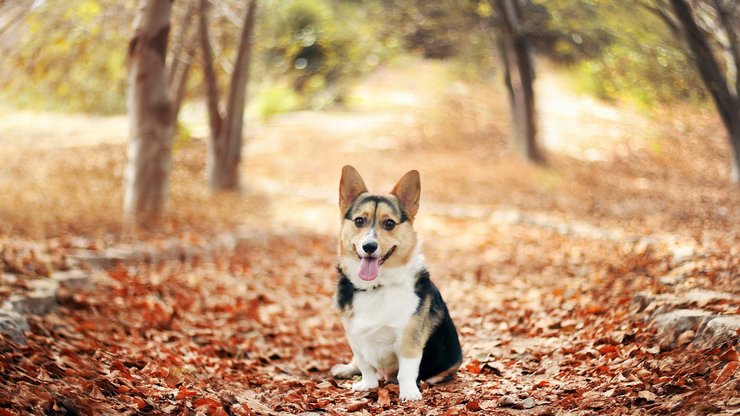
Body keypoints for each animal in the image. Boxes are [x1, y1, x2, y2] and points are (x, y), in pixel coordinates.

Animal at [330, 165, 460, 400]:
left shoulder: (409, 340)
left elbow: (406, 370)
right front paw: (368, 385)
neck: (376, 286)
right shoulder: (355, 337)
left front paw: (409, 393)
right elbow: (365, 365)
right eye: (359, 221)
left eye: (389, 223)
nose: (369, 246)